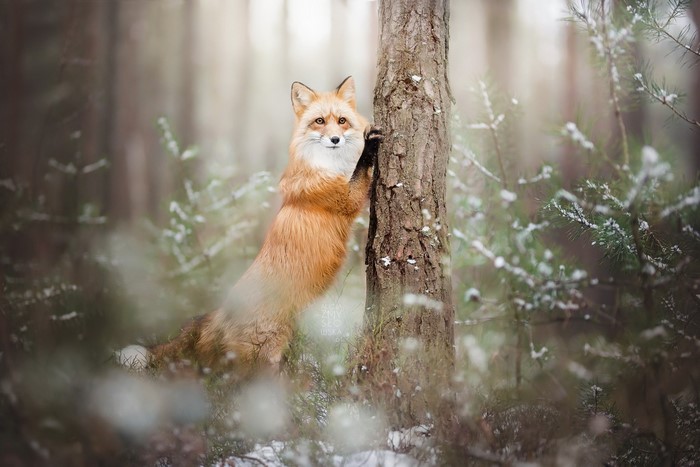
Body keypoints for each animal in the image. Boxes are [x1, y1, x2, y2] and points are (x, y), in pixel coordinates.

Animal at [118, 76, 382, 376]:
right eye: (319, 121)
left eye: (341, 120)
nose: (335, 139)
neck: (331, 166)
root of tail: (220, 312)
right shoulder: (345, 198)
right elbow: (360, 171)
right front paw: (369, 146)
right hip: (266, 356)